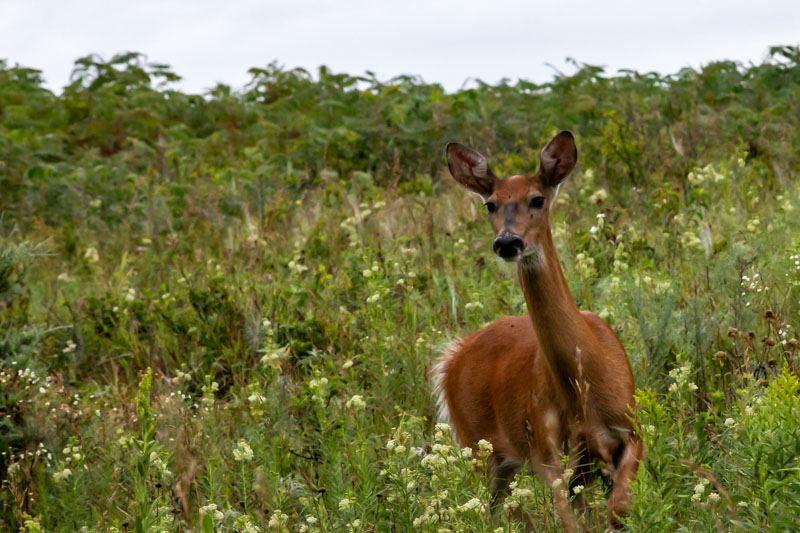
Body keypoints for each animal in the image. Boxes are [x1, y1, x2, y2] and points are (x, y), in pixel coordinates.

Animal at [432, 131, 642, 531]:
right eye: (490, 204)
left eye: (537, 198)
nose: (507, 242)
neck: (584, 391)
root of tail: (452, 358)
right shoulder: (551, 456)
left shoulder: (631, 430)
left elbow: (620, 508)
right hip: (477, 447)